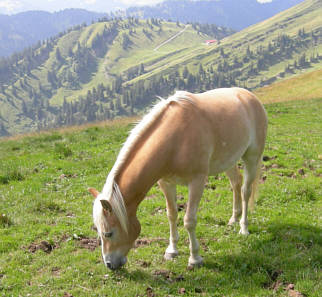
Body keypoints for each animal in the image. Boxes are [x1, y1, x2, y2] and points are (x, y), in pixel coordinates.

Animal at [88, 86, 266, 270]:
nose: (109, 264)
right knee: (236, 183)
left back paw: (243, 228)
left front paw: (195, 258)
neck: (175, 140)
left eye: (108, 233)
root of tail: (248, 96)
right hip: (228, 160)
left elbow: (189, 220)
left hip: (251, 157)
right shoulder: (166, 183)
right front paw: (172, 250)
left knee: (245, 191)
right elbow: (172, 214)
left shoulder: (197, 182)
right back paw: (233, 219)